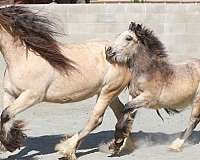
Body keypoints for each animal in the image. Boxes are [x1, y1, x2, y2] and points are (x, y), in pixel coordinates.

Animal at [0, 5, 131, 159]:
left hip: (108, 92)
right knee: (121, 113)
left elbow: (5, 115)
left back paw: (68, 149)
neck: (22, 59)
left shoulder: (32, 96)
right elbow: (6, 117)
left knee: (96, 119)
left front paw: (10, 144)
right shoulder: (9, 93)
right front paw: (11, 142)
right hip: (107, 92)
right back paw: (118, 145)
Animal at [106, 21, 200, 154]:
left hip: (197, 101)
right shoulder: (134, 96)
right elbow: (128, 114)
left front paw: (117, 141)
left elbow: (126, 108)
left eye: (128, 38)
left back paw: (175, 145)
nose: (108, 50)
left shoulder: (148, 98)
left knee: (193, 120)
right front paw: (117, 144)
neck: (148, 71)